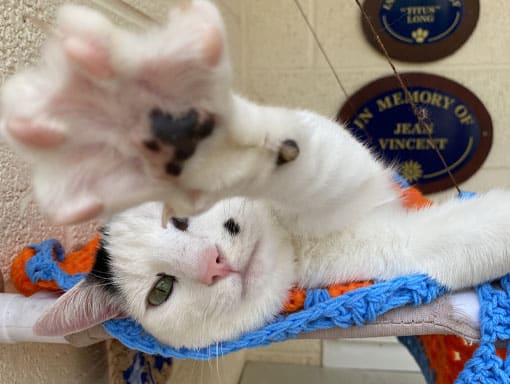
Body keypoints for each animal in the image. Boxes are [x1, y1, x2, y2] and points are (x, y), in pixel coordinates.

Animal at [0, 0, 510, 348]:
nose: (213, 264)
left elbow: (321, 161)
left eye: (179, 217)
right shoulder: (387, 246)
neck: (295, 238)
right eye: (161, 291)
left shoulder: (347, 163)